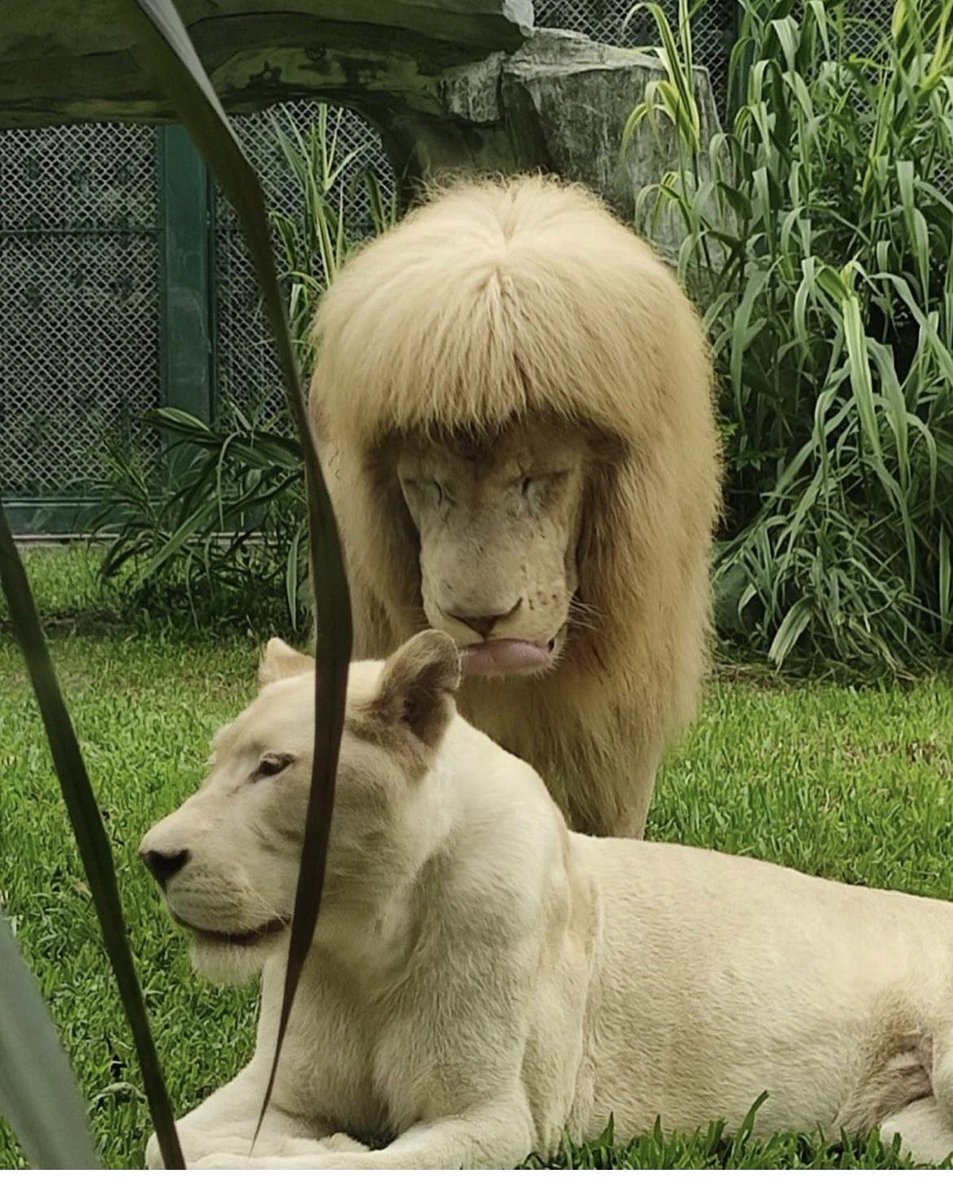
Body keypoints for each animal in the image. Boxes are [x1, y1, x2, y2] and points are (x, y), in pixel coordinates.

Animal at [142, 638, 950, 1171]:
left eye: (274, 767)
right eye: (216, 761)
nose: (153, 857)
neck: (363, 942)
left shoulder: (499, 1119)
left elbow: (353, 1168)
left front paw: (302, 1150)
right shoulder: (277, 1084)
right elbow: (163, 1143)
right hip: (900, 1134)